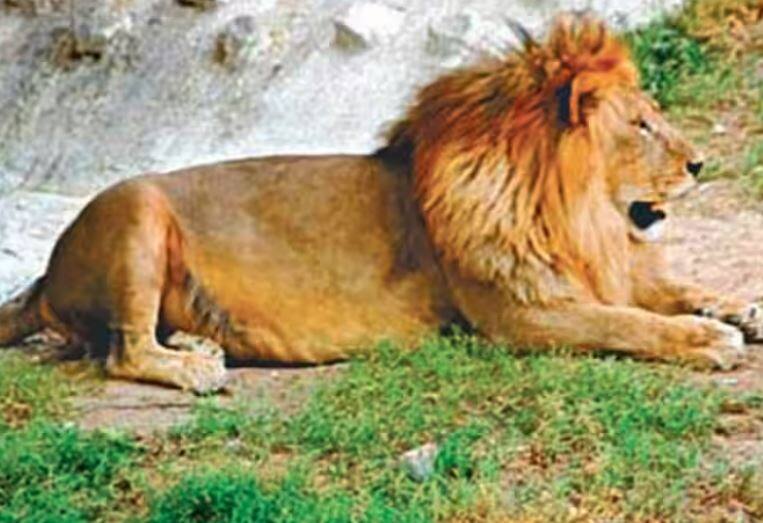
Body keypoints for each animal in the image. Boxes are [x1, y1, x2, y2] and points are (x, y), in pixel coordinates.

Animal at [0, 14, 759, 392]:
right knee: (122, 351)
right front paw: (706, 338)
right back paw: (193, 368)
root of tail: (45, 277)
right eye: (640, 124)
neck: (573, 216)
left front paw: (738, 309)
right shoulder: (517, 313)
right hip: (135, 208)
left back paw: (197, 341)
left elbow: (666, 288)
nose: (699, 163)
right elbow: (627, 322)